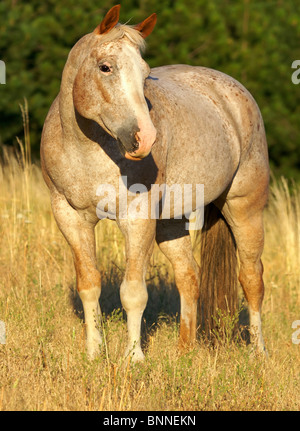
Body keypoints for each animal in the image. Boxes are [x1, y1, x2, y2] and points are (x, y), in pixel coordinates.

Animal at [40, 5, 270, 362]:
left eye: (146, 73)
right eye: (105, 67)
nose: (145, 138)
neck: (85, 148)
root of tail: (233, 90)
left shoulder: (137, 219)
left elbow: (133, 292)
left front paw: (133, 358)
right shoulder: (70, 217)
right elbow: (89, 285)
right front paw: (94, 353)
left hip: (245, 209)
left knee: (251, 279)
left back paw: (257, 354)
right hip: (170, 221)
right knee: (189, 276)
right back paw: (185, 351)